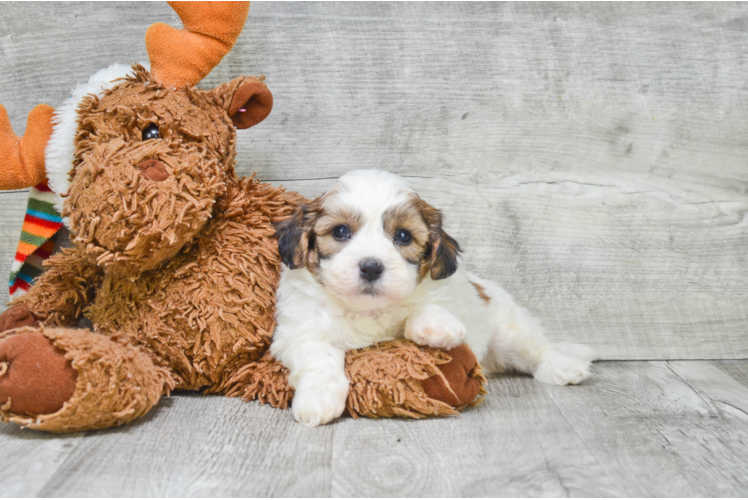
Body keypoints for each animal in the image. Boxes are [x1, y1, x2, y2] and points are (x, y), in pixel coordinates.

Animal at [272, 171, 592, 426]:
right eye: (340, 231)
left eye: (403, 236)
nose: (372, 267)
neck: (369, 310)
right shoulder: (298, 331)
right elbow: (318, 355)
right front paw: (318, 399)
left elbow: (433, 305)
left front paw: (437, 327)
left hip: (508, 329)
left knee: (537, 350)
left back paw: (564, 366)